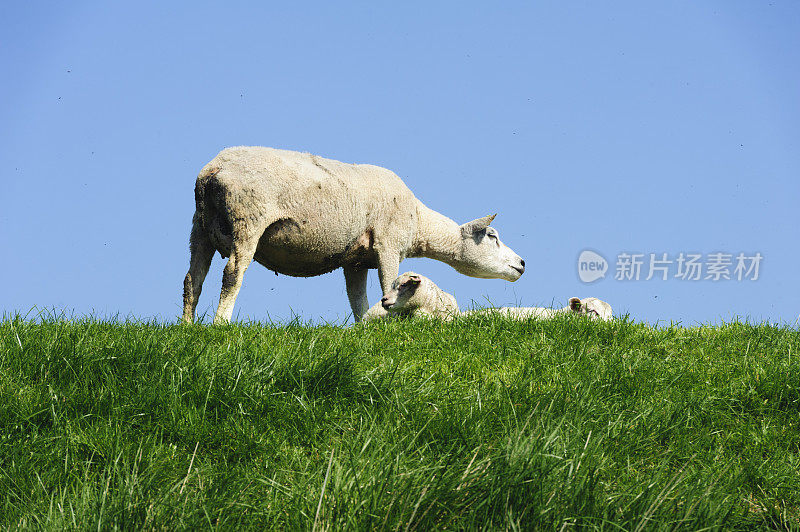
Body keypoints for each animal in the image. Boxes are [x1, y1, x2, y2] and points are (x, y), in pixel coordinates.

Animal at [181, 148, 524, 326]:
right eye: (492, 235)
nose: (522, 264)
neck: (418, 220)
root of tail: (212, 172)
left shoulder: (355, 261)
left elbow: (357, 301)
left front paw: (364, 329)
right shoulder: (388, 244)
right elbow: (388, 284)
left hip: (200, 228)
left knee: (192, 280)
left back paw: (187, 327)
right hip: (248, 219)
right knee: (232, 274)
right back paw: (221, 324)